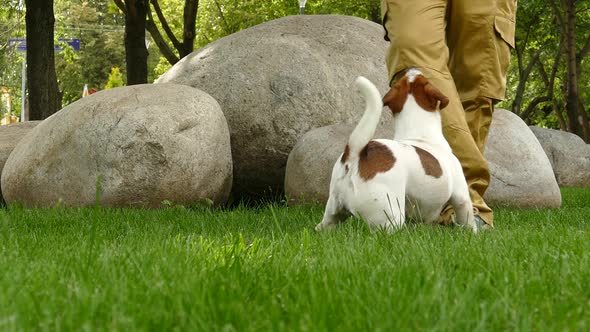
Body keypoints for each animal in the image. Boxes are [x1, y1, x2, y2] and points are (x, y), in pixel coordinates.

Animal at [316, 68, 478, 232]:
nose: (411, 68)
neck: (419, 133)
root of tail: (357, 154)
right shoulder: (462, 197)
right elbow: (468, 219)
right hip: (391, 217)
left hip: (331, 214)